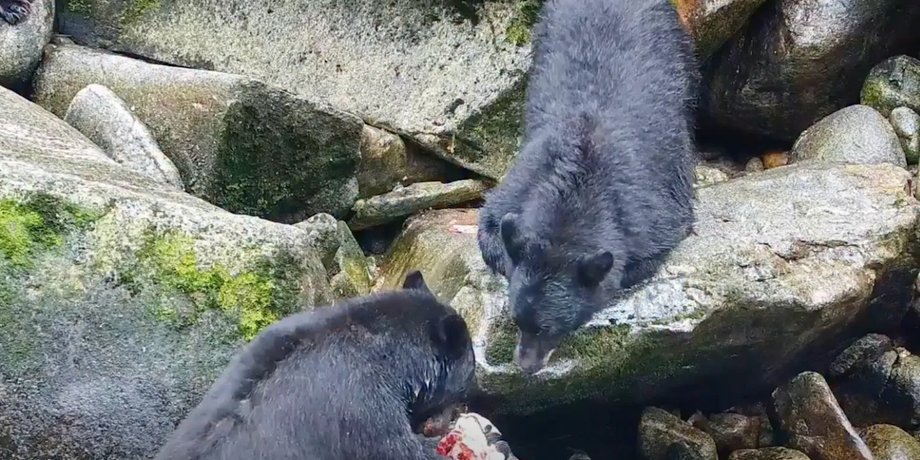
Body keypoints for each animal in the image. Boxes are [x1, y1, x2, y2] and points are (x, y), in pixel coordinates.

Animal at [477, 0, 698, 374]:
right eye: (518, 320)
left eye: (548, 327)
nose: (524, 366)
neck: (577, 188)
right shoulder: (528, 174)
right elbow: (492, 225)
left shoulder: (646, 211)